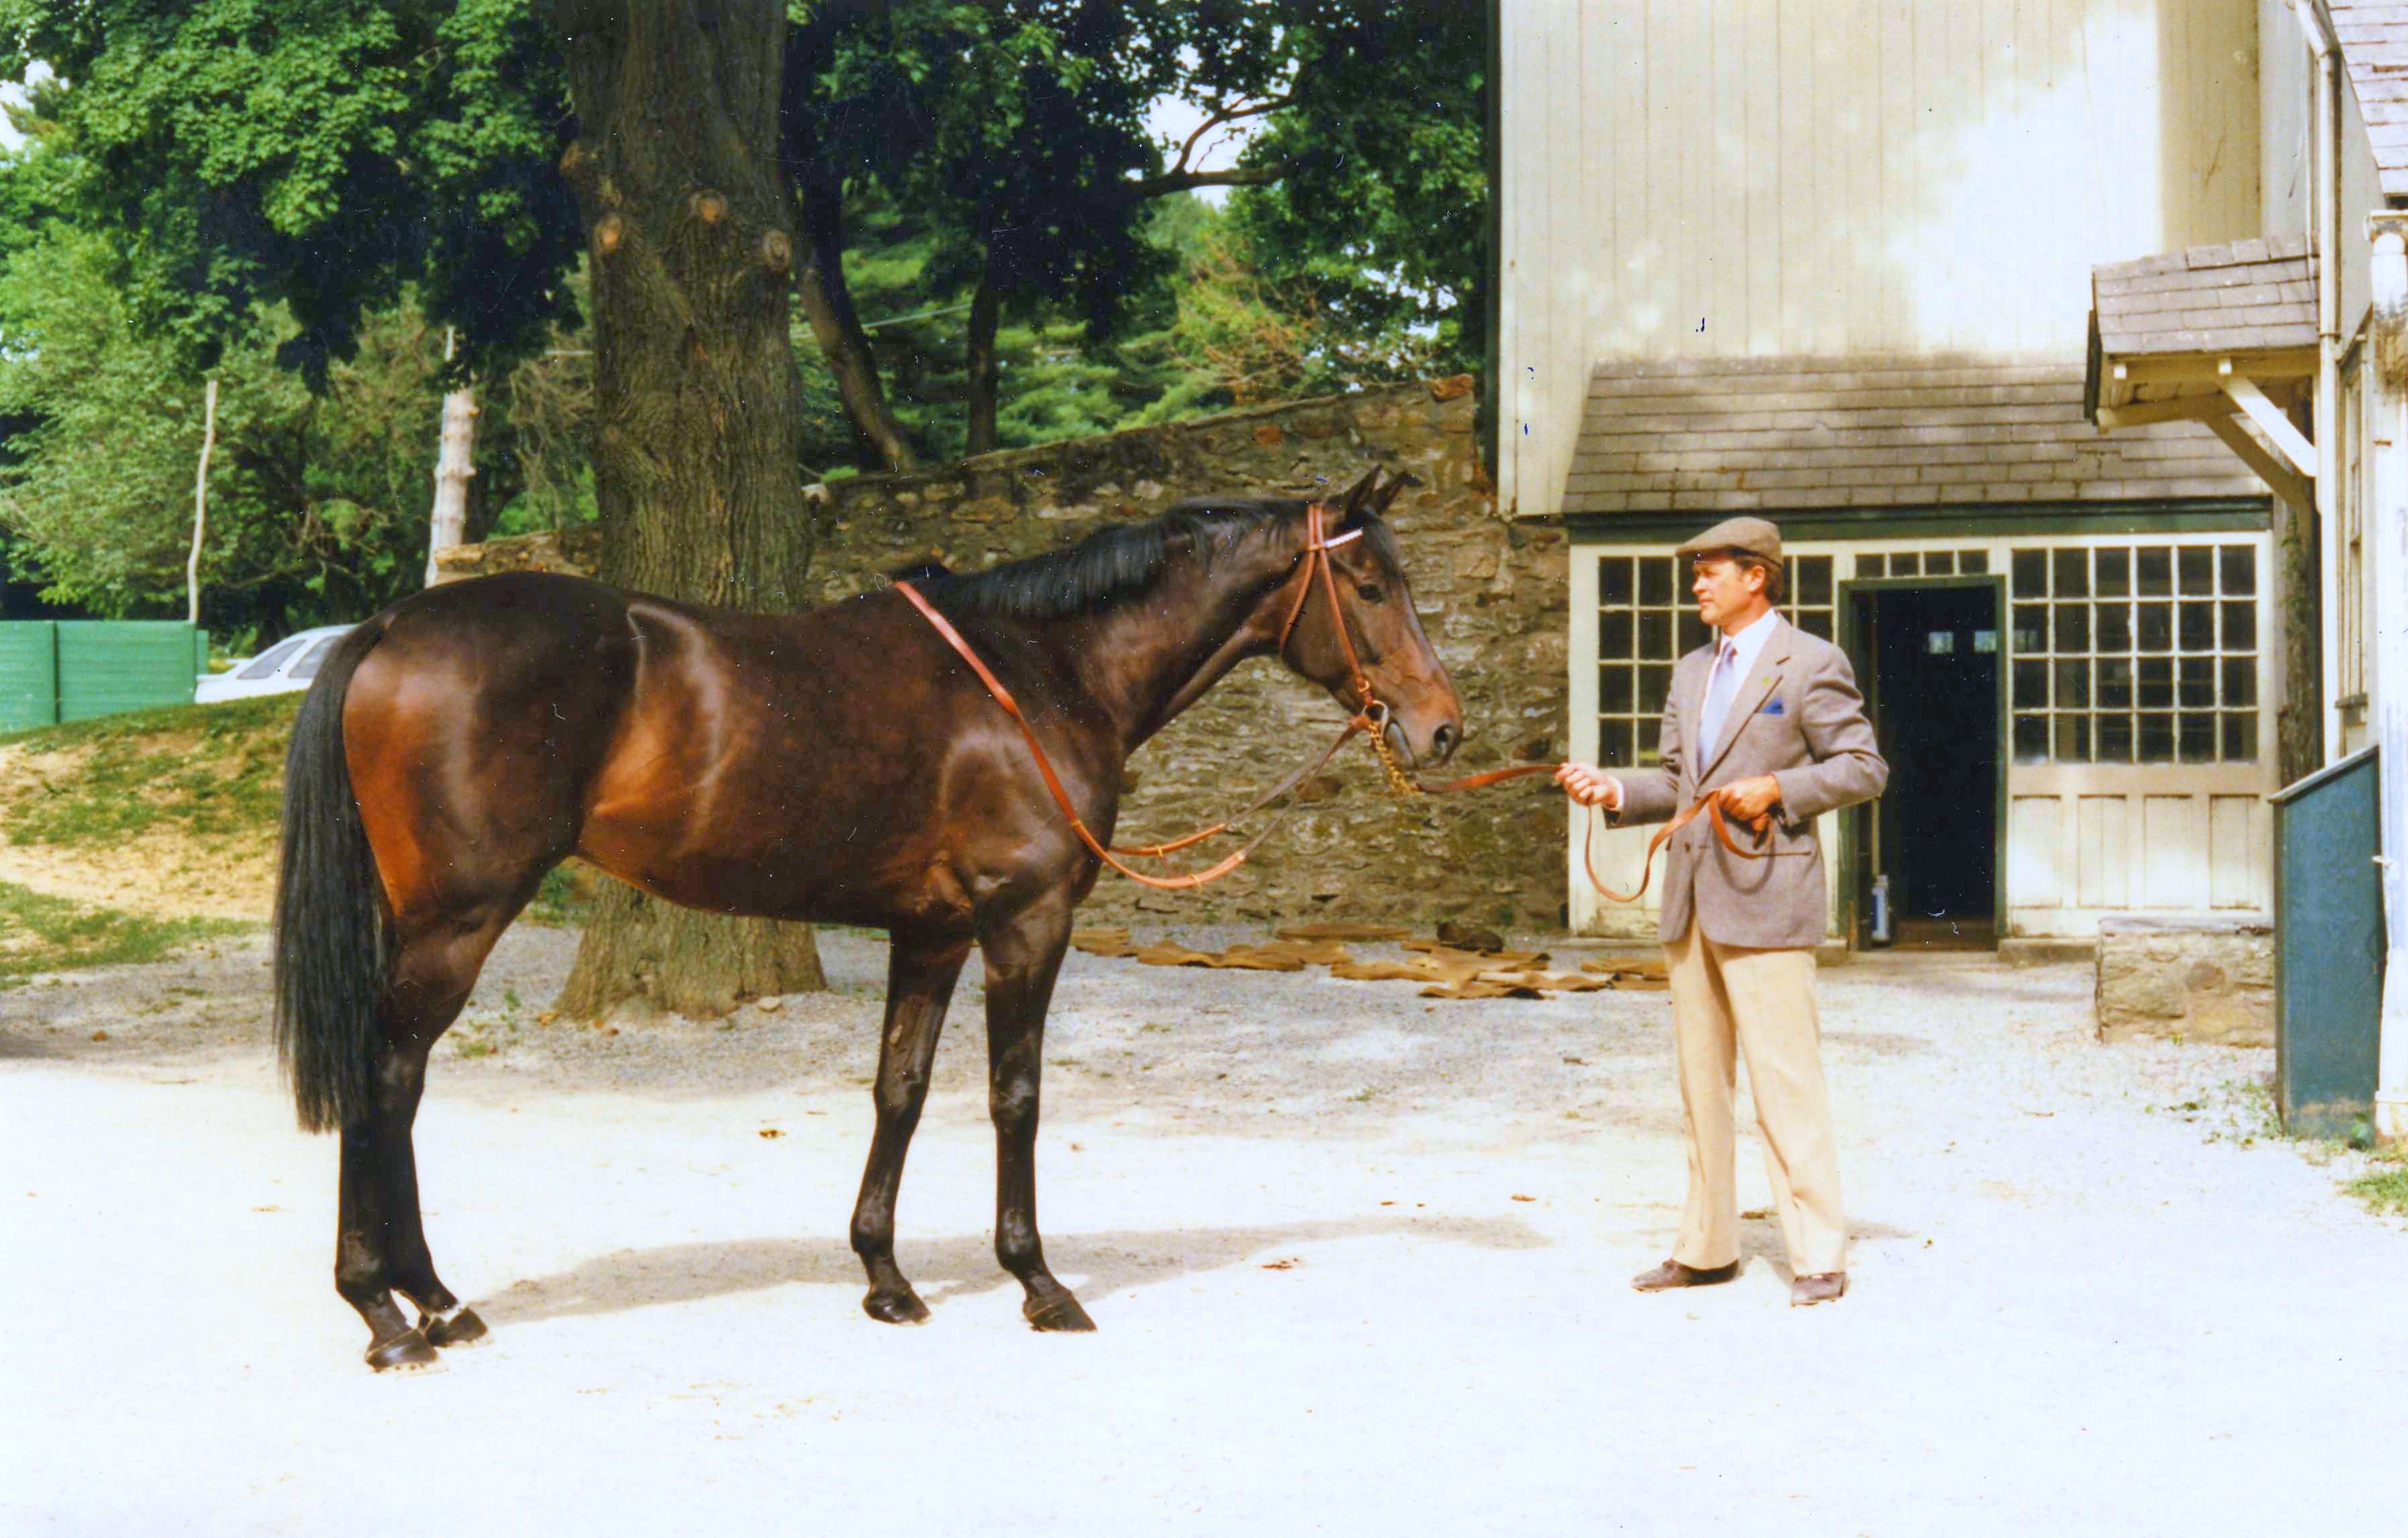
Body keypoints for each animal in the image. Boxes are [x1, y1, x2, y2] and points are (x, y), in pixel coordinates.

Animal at [270, 469, 1454, 1367]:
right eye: (1367, 583)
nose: (1442, 728)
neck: (1042, 668)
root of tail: (392, 623)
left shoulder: (931, 933)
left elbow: (902, 1091)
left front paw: (886, 1277)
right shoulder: (1026, 924)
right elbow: (1015, 1098)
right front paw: (1038, 1282)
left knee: (395, 1085)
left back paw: (429, 1300)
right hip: (457, 922)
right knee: (387, 1079)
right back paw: (391, 1310)